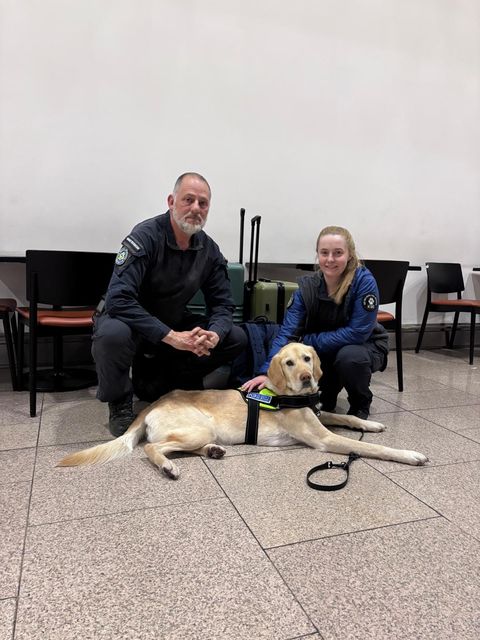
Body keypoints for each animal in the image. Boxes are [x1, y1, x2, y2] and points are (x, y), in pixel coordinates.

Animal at [58, 344, 430, 476]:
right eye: (289, 363)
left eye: (307, 358)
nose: (308, 379)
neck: (286, 395)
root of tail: (156, 403)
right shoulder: (324, 440)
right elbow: (372, 448)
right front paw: (410, 454)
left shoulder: (320, 415)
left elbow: (347, 416)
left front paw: (372, 425)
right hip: (196, 427)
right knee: (152, 448)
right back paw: (167, 466)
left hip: (202, 432)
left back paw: (213, 451)